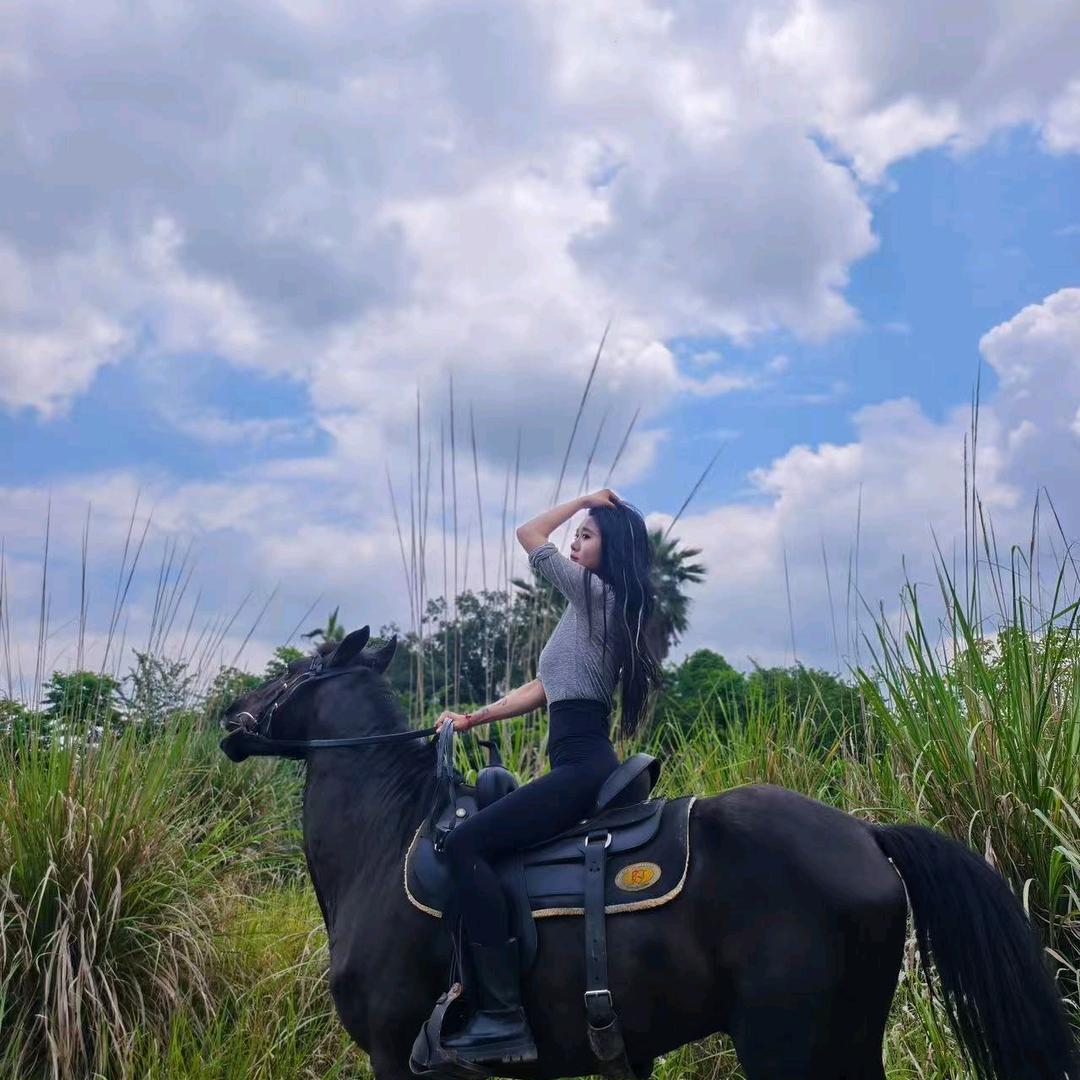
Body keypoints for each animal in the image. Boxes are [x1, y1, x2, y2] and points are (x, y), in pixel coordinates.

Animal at [218, 626, 1080, 1080]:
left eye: (291, 672)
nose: (231, 716)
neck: (390, 843)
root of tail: (865, 835)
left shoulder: (394, 1054)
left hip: (785, 1043)